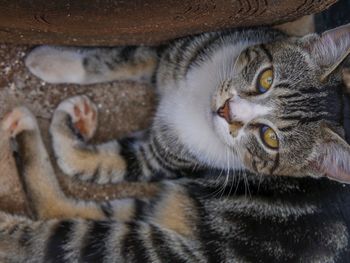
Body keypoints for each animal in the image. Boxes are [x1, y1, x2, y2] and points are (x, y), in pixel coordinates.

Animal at [0, 23, 350, 262]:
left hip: (164, 249)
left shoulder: (161, 159)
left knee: (68, 236)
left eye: (270, 137)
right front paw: (48, 61)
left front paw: (67, 132)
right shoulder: (176, 51)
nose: (227, 111)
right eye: (266, 78)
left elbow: (102, 162)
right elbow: (122, 58)